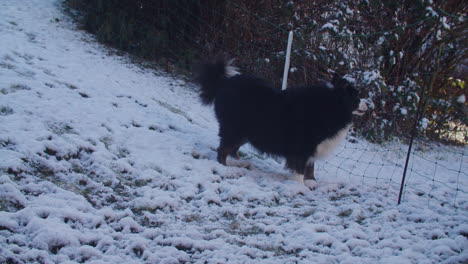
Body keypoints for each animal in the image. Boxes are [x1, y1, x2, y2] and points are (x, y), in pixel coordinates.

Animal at [196, 58, 368, 180]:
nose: (368, 104)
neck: (333, 104)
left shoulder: (312, 148)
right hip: (235, 128)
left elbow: (310, 167)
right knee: (223, 150)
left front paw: (312, 183)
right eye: (356, 96)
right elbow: (301, 169)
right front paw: (300, 187)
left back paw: (238, 163)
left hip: (246, 131)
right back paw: (225, 167)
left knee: (232, 149)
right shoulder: (303, 146)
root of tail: (224, 82)